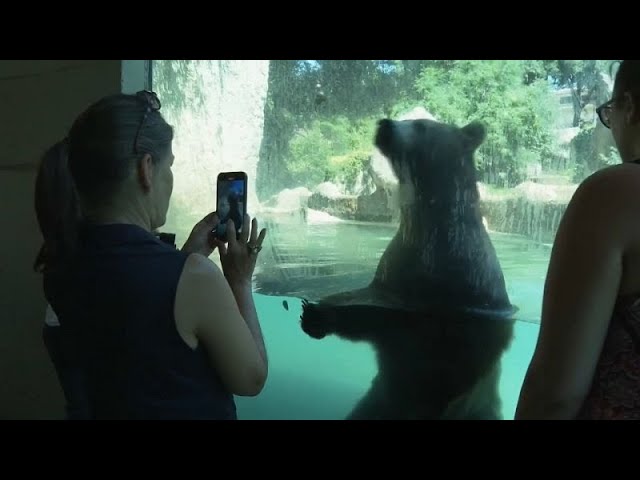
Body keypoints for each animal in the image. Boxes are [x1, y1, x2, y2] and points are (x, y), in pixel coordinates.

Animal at [298, 116, 516, 420]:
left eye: (421, 124)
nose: (385, 123)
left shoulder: (468, 296)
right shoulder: (395, 269)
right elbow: (366, 305)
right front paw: (318, 312)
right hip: (375, 403)